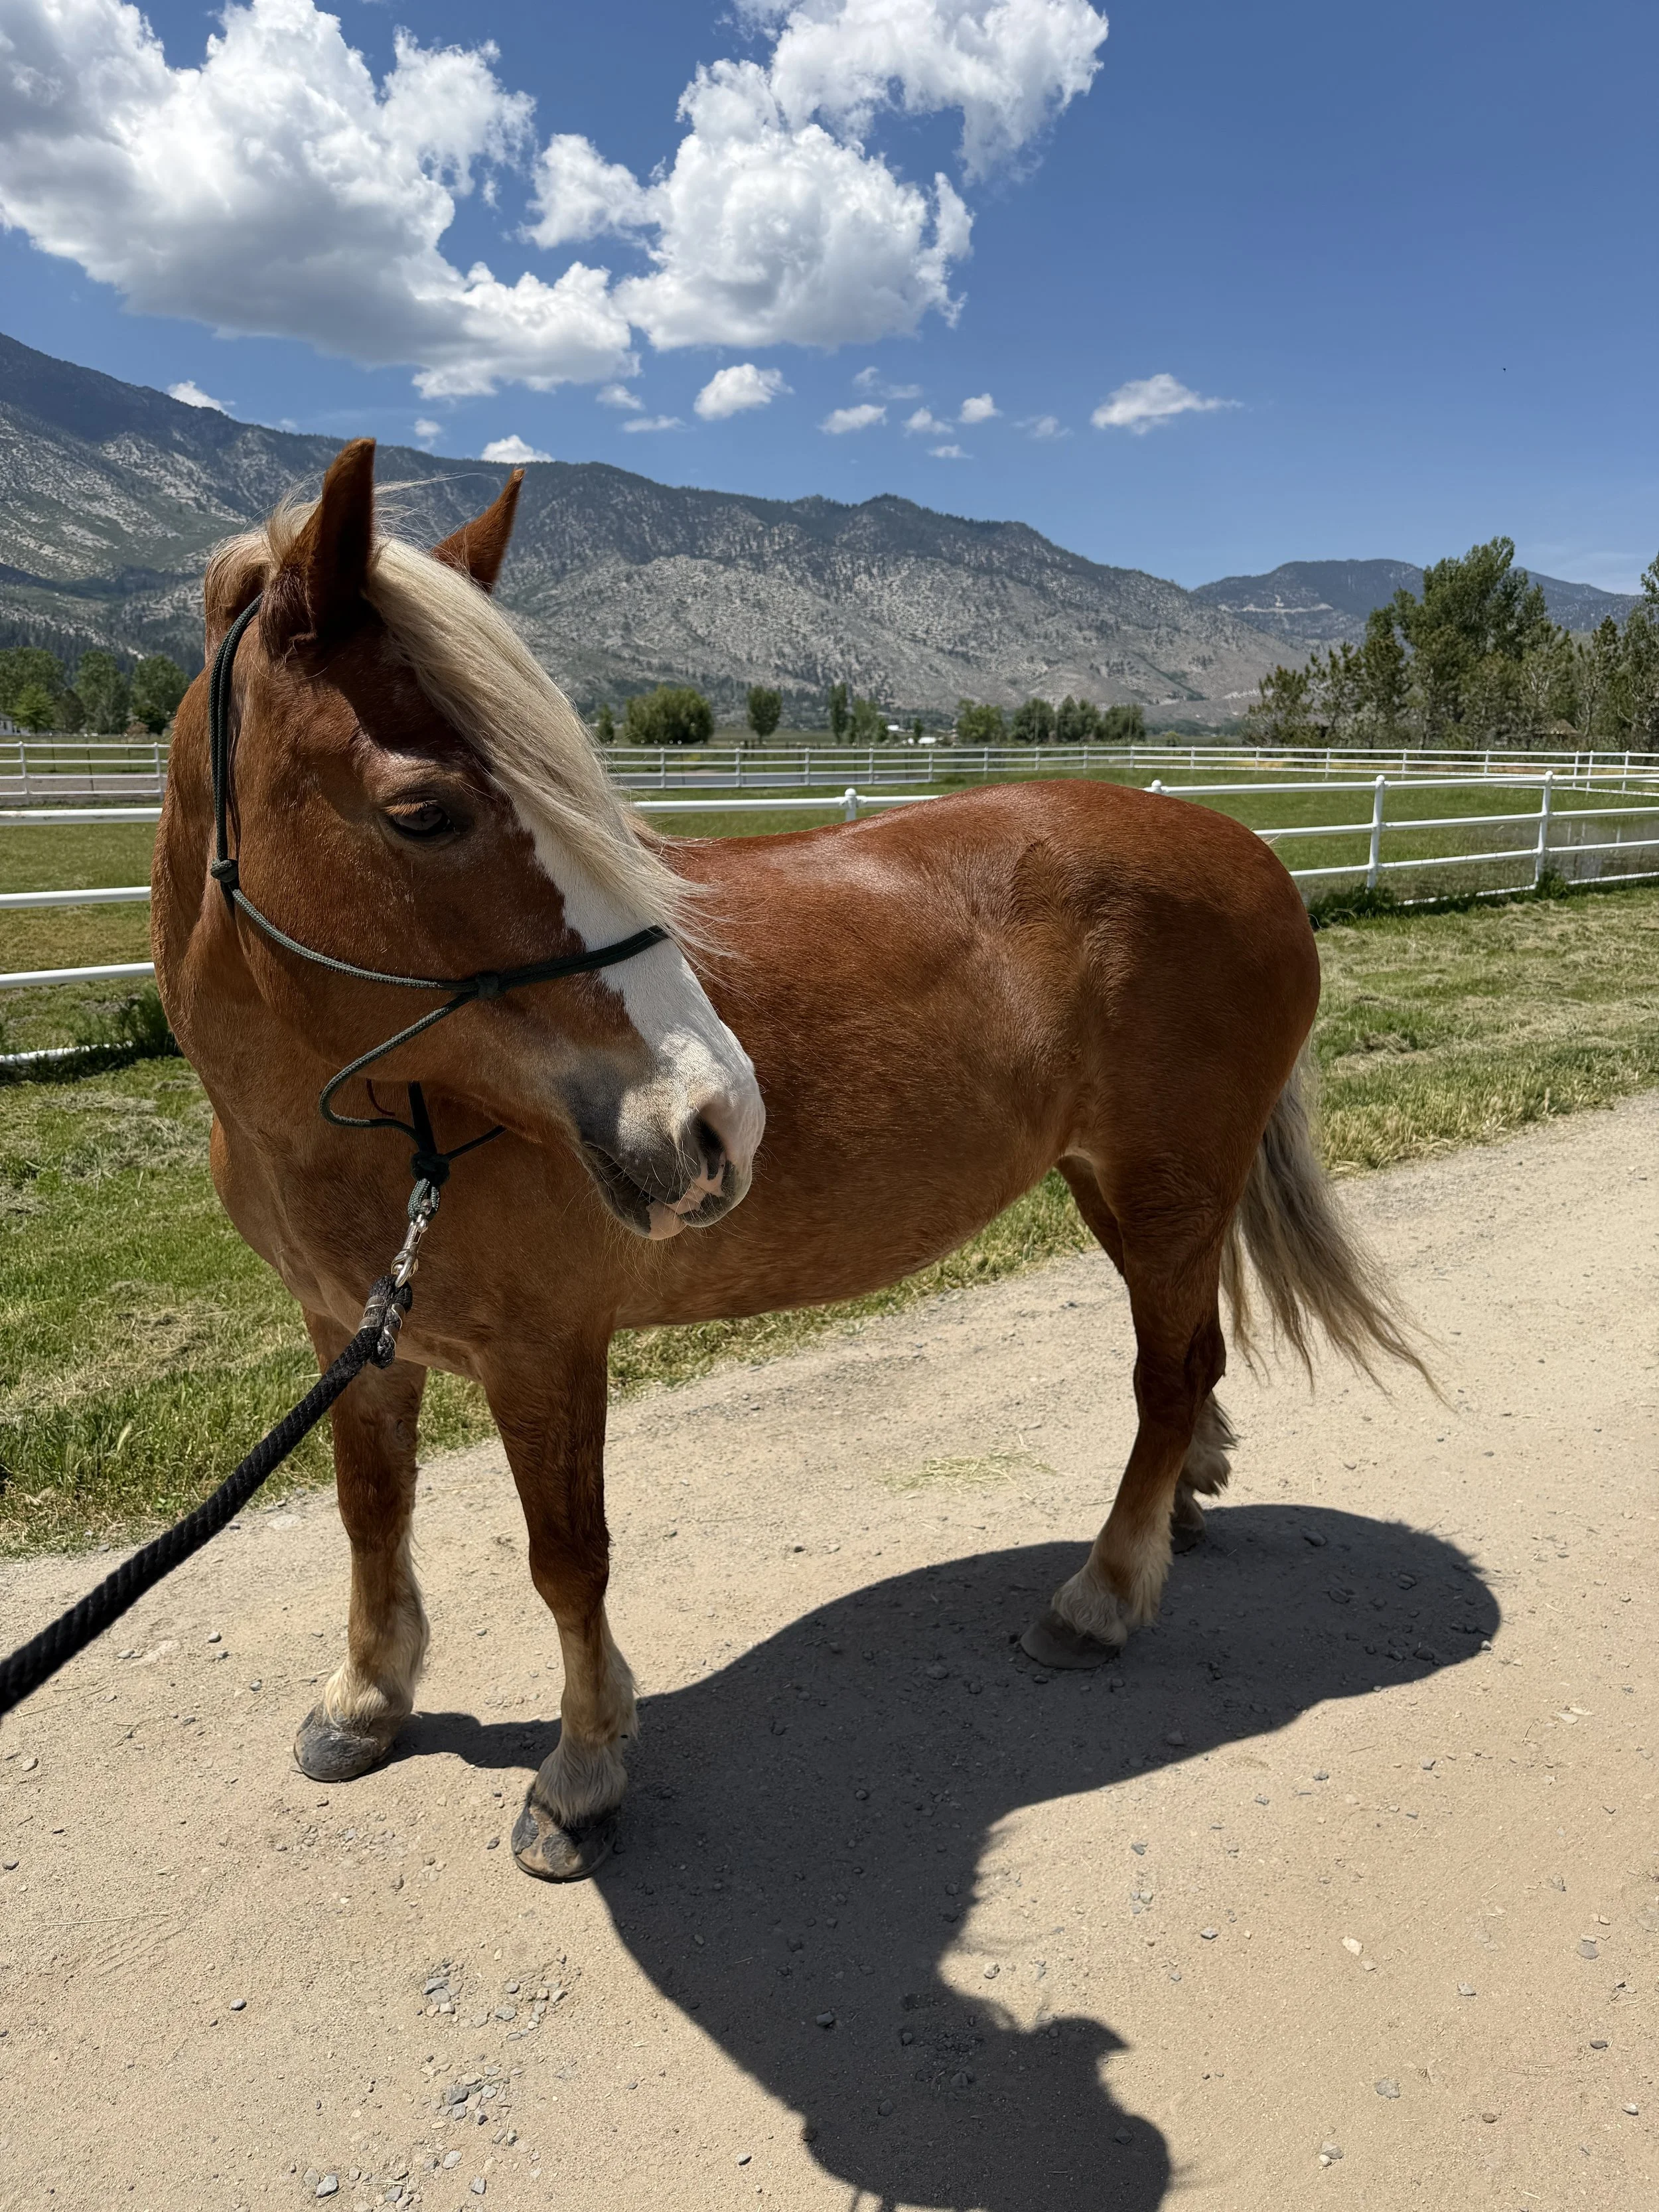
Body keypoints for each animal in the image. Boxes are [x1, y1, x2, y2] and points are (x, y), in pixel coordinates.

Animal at [152, 438, 1420, 1882]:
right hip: (1122, 1190)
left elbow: (566, 1558)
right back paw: (1179, 1508)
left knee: (1168, 1373)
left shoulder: (546, 1354)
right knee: (1189, 1362)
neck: (377, 1119)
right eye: (422, 812)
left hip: (1165, 1190)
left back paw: (1102, 1591)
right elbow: (373, 1509)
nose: (714, 1117)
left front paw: (581, 1773)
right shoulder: (346, 1332)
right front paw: (365, 1699)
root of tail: (1246, 850)